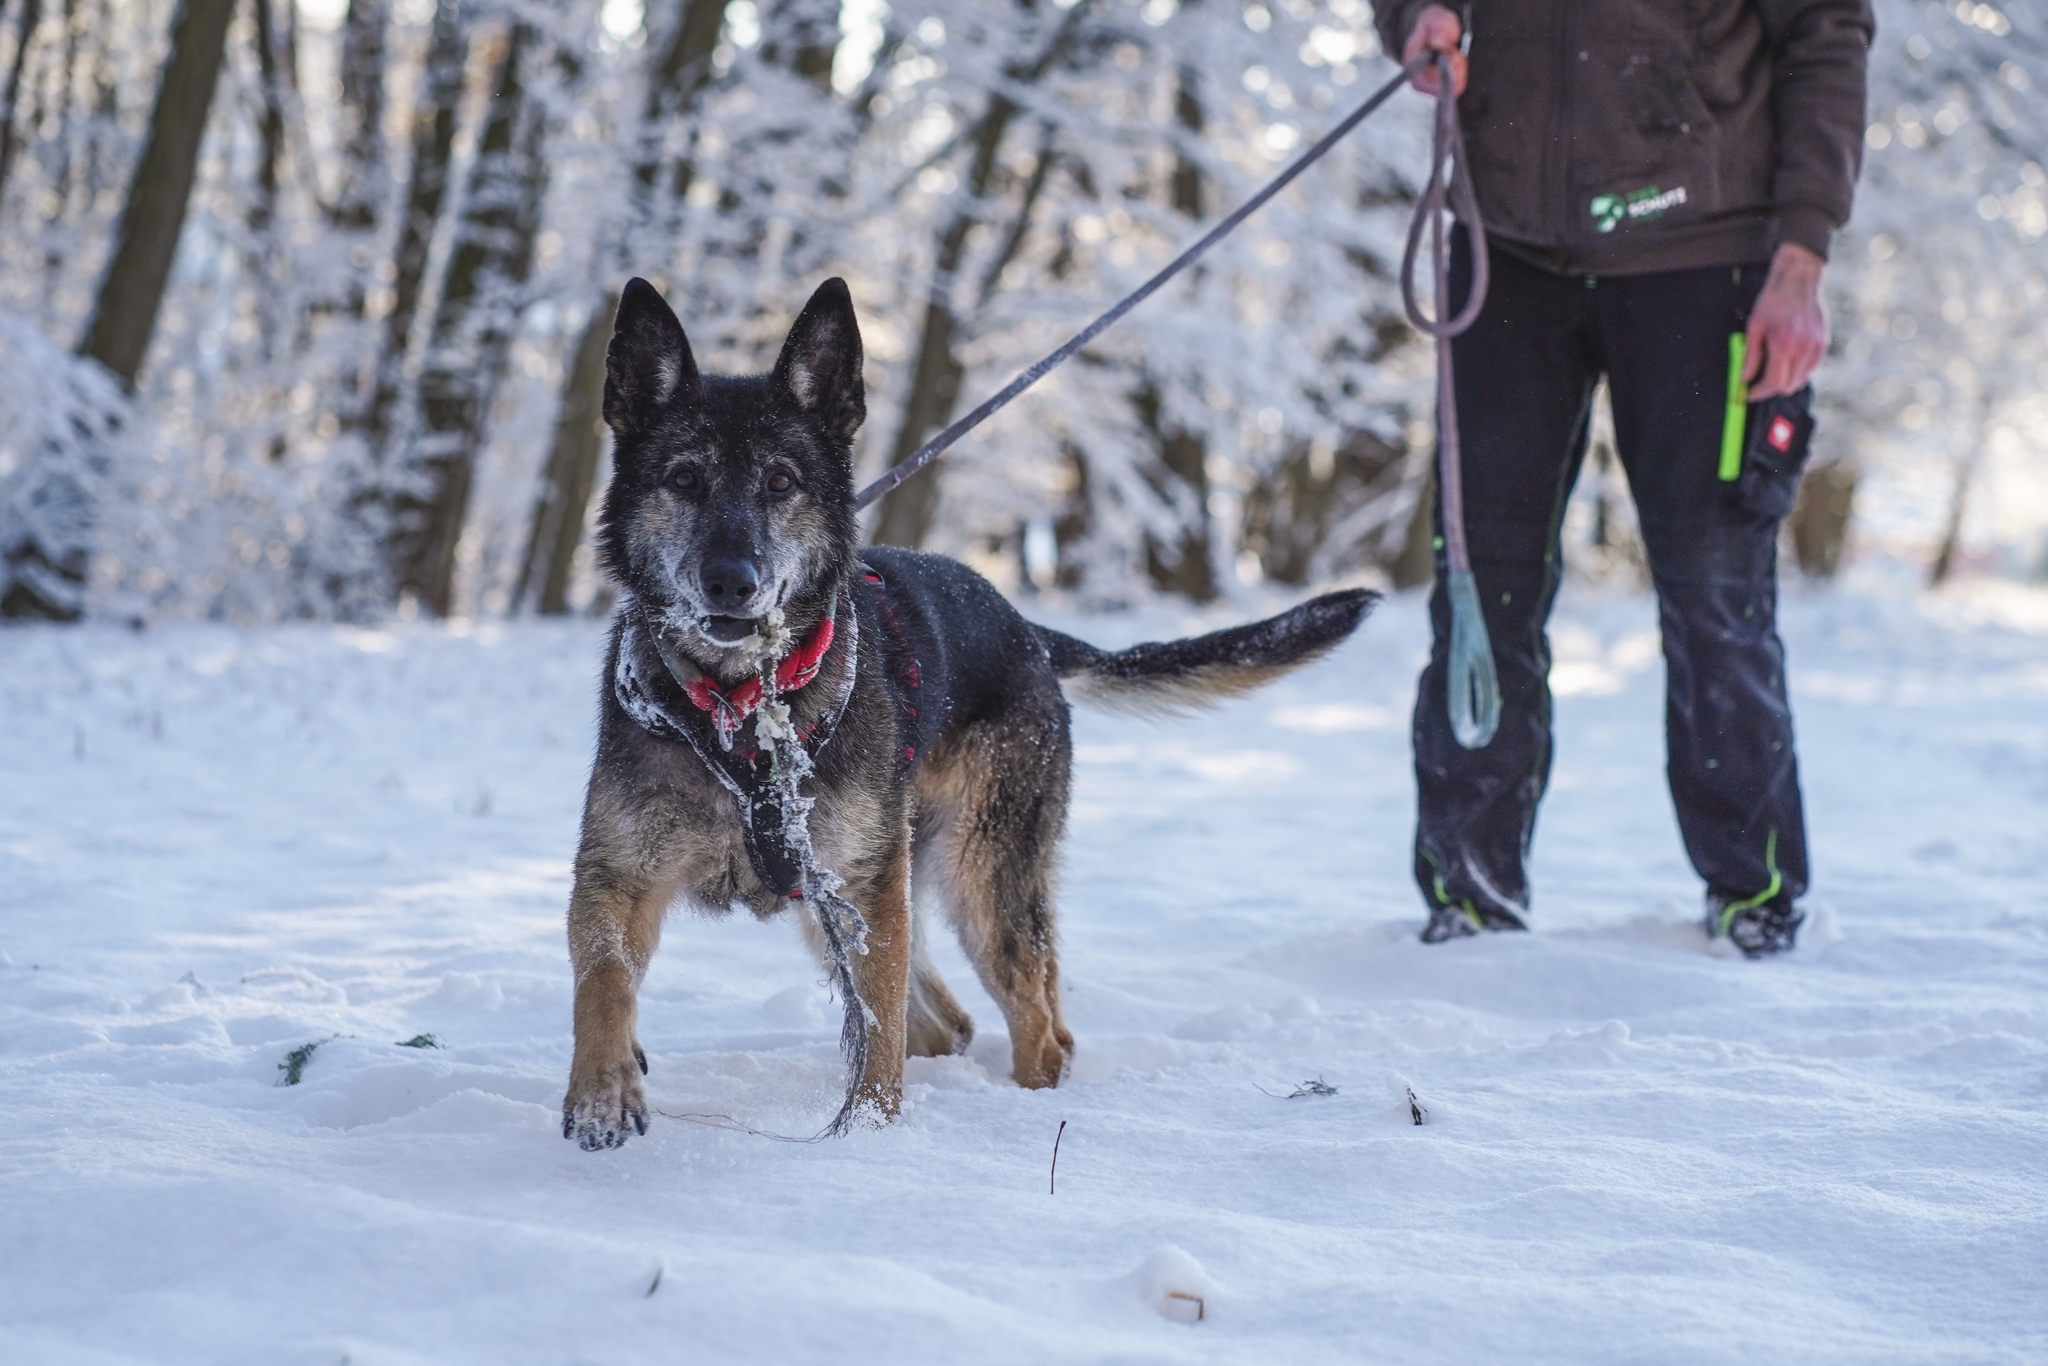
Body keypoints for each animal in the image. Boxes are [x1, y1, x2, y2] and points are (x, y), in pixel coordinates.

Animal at [561, 272, 1376, 1146]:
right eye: (684, 479)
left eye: (780, 482)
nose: (730, 581)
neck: (738, 708)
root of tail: (1026, 629)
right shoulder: (617, 877)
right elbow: (602, 981)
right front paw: (603, 1089)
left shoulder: (864, 890)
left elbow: (876, 1031)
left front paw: (867, 1141)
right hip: (858, 898)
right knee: (948, 1022)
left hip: (975, 882)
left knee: (1035, 1028)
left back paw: (1024, 1112)